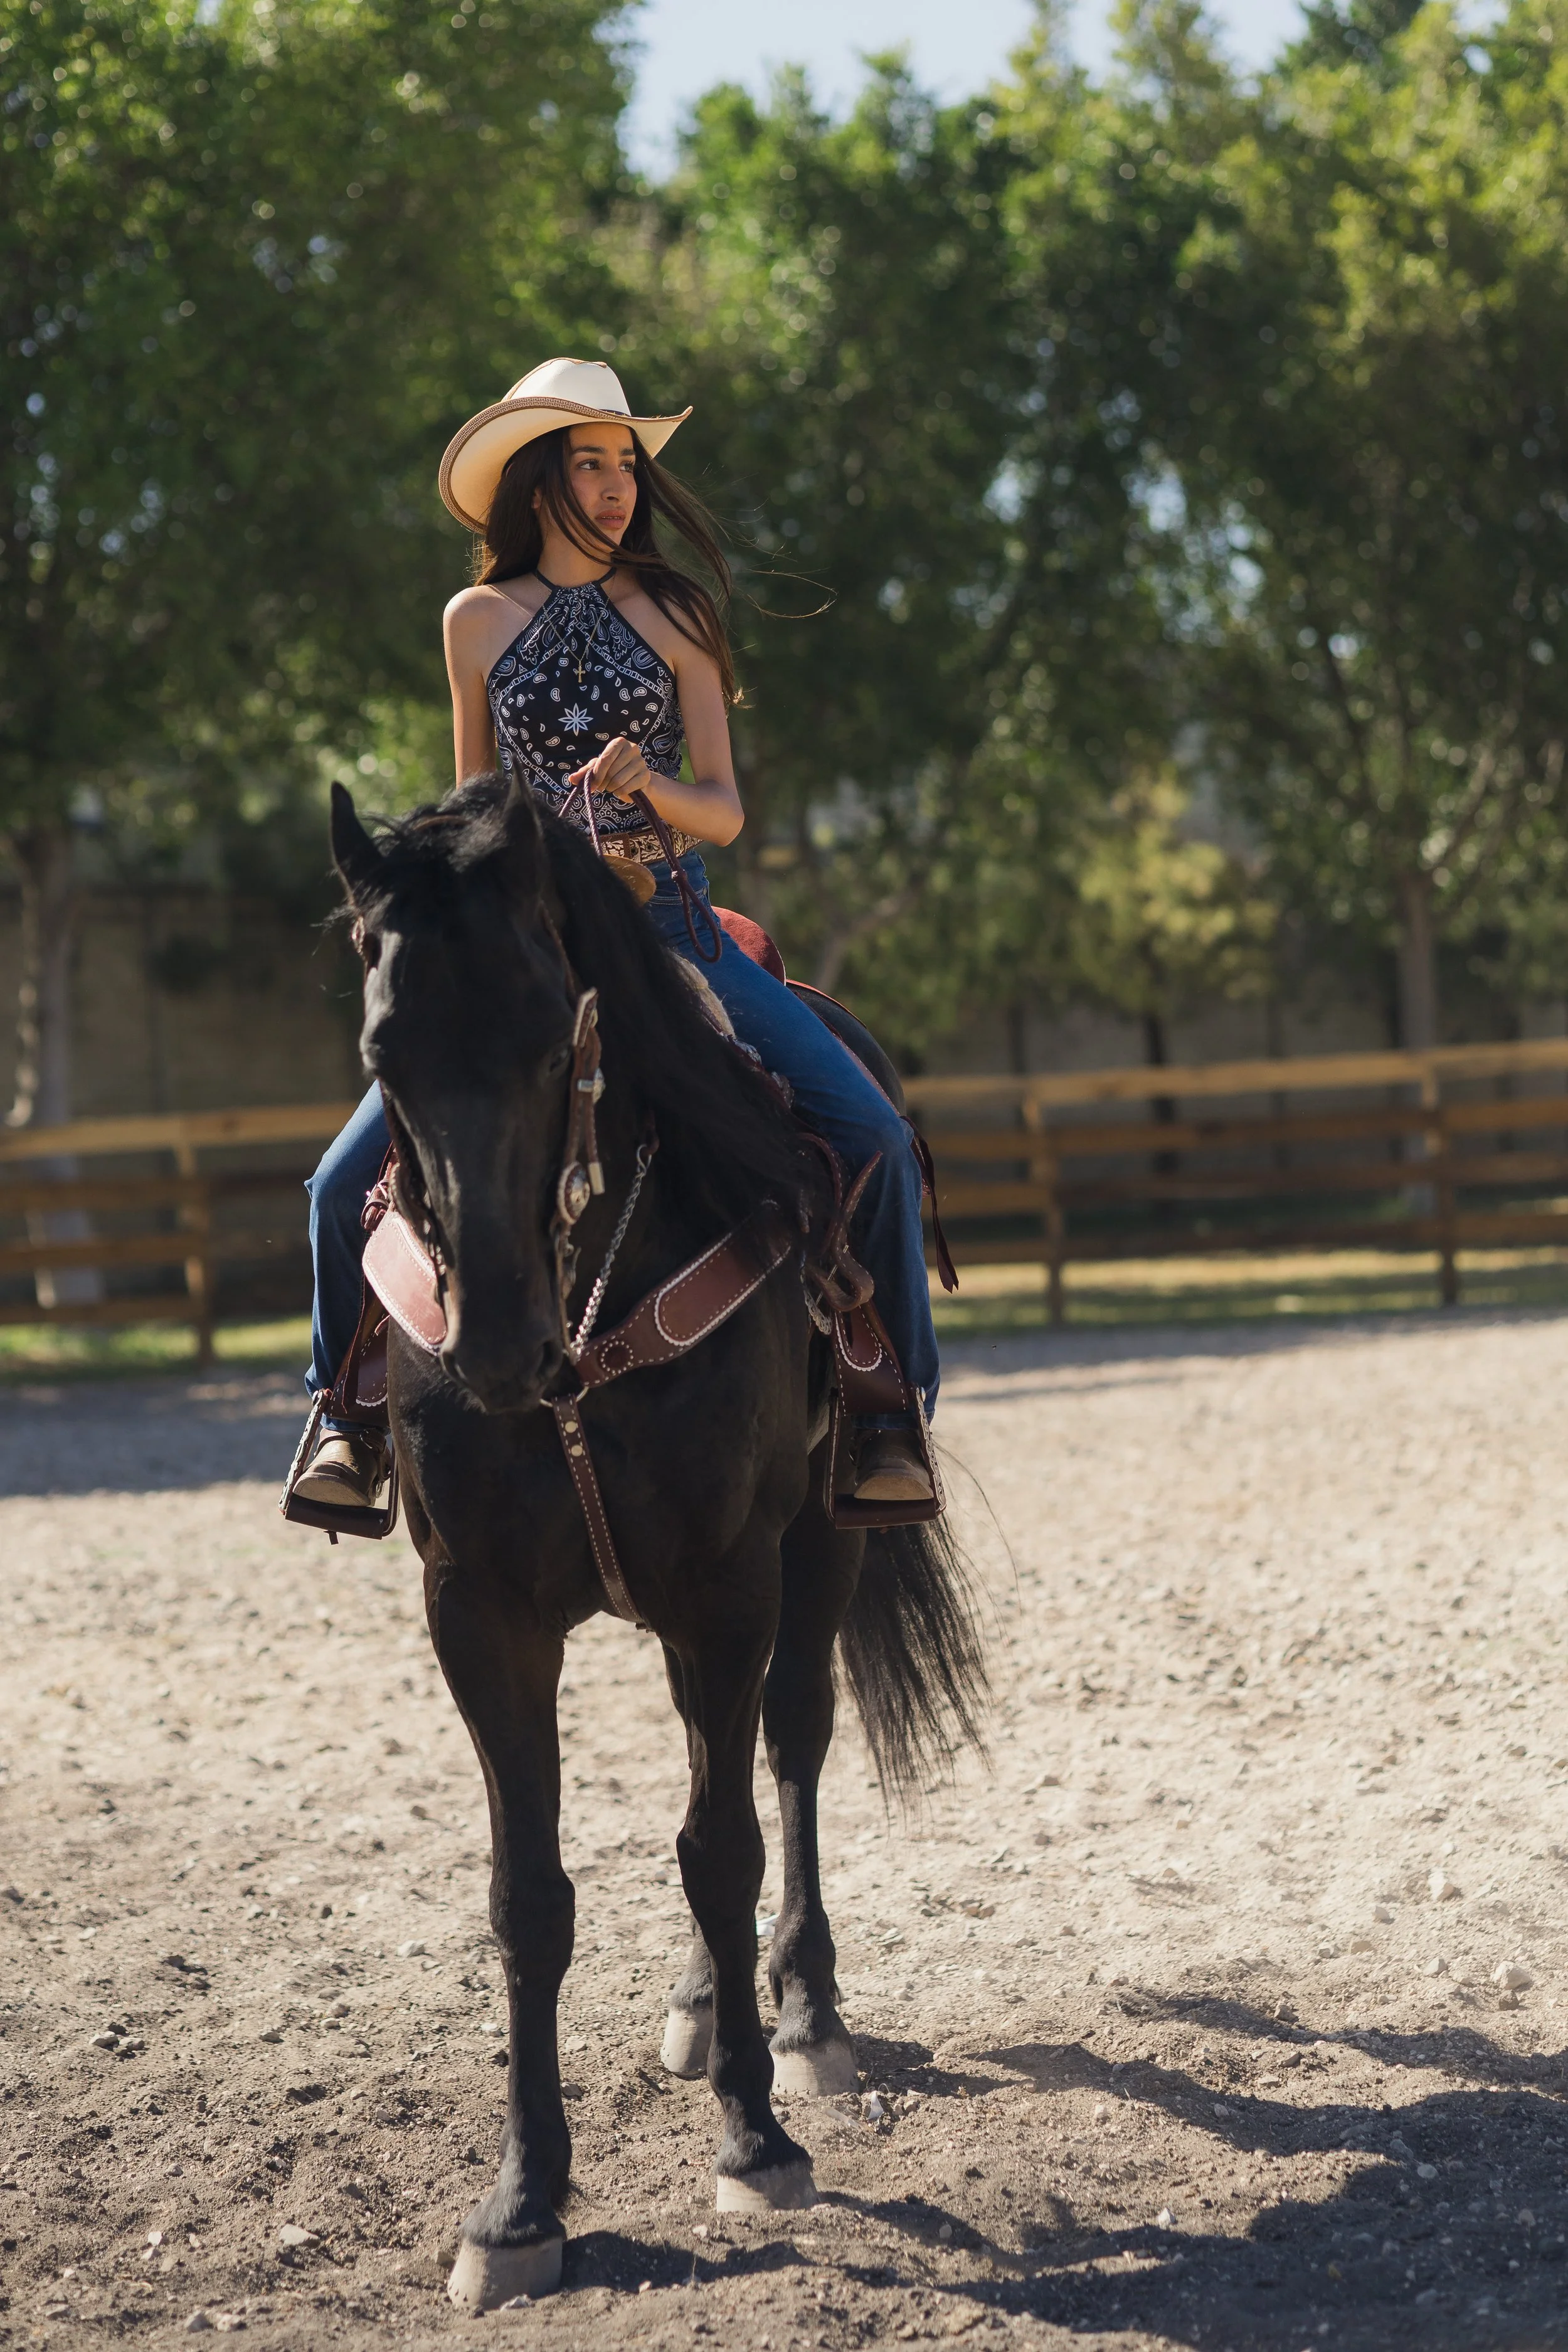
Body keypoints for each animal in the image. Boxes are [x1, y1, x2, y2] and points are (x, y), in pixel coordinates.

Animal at [326, 772, 987, 2309]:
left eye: (547, 1023)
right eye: (384, 1049)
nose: (496, 1339)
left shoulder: (727, 1584)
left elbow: (723, 1845)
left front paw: (752, 2138)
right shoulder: (478, 1611)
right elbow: (529, 1895)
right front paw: (521, 2207)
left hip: (821, 1546)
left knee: (786, 1750)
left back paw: (800, 2018)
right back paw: (702, 2002)